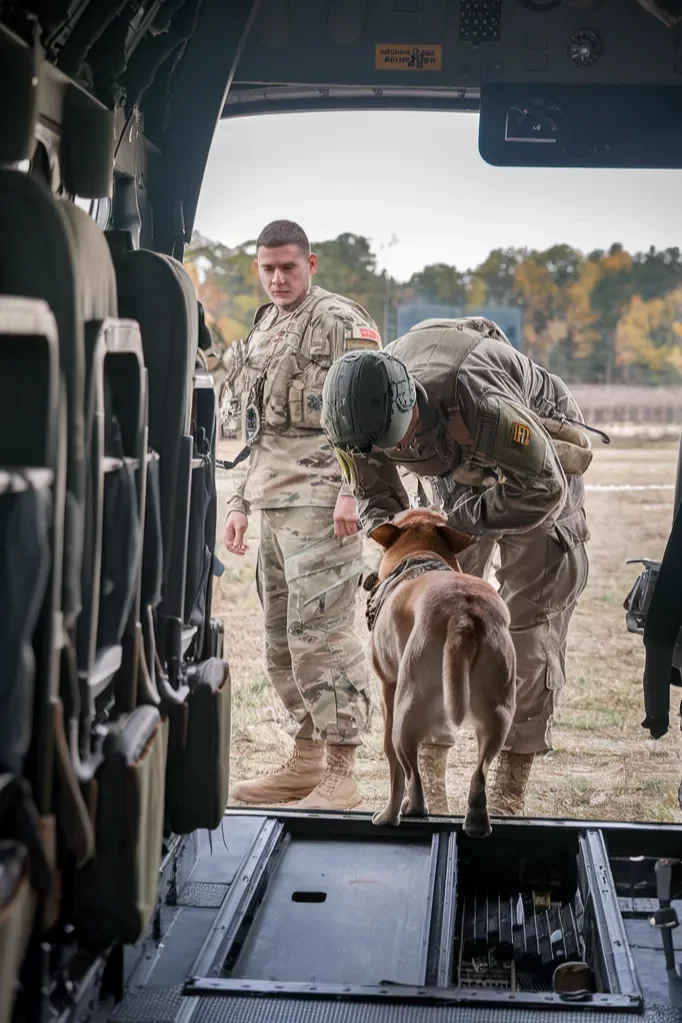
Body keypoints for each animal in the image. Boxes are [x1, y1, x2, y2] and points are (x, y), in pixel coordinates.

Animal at [368, 507, 517, 834]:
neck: (419, 553)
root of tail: (463, 617)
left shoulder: (388, 689)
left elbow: (395, 769)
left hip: (406, 712)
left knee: (411, 773)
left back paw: (397, 813)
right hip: (498, 713)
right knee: (480, 773)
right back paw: (477, 820)